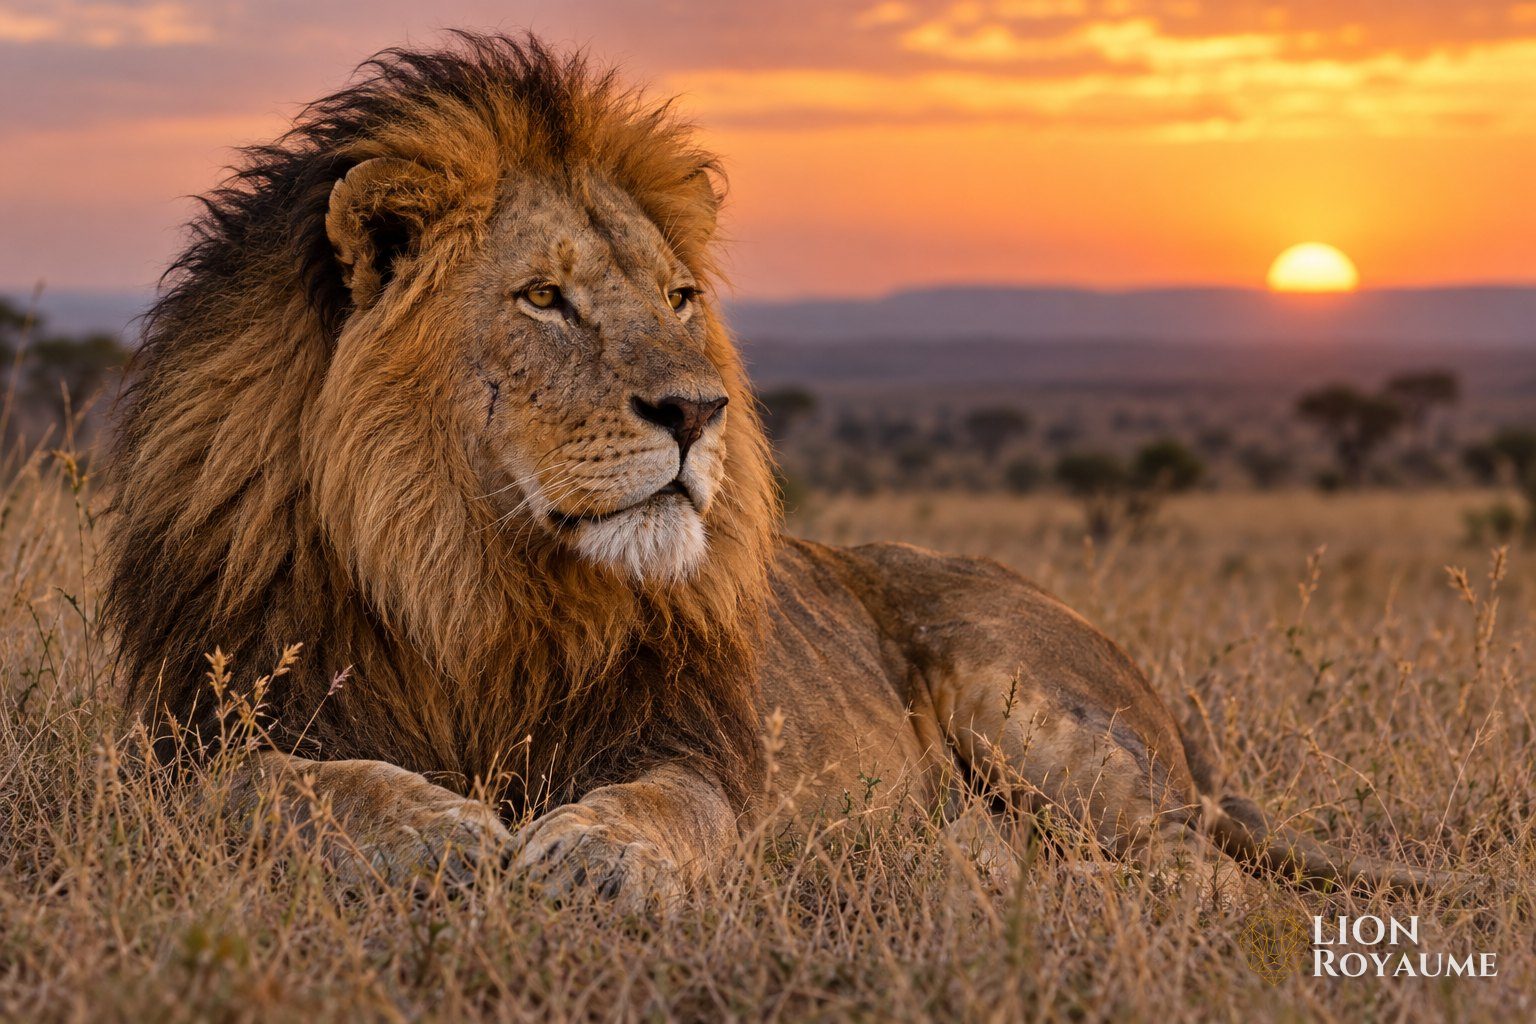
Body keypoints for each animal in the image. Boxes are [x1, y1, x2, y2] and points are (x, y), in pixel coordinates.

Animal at [106, 33, 1452, 906]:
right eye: (544, 299)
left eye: (677, 298)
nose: (697, 410)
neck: (469, 578)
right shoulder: (189, 734)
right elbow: (286, 784)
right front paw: (437, 831)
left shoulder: (692, 740)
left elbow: (674, 804)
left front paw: (596, 856)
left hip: (1033, 701)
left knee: (1207, 878)